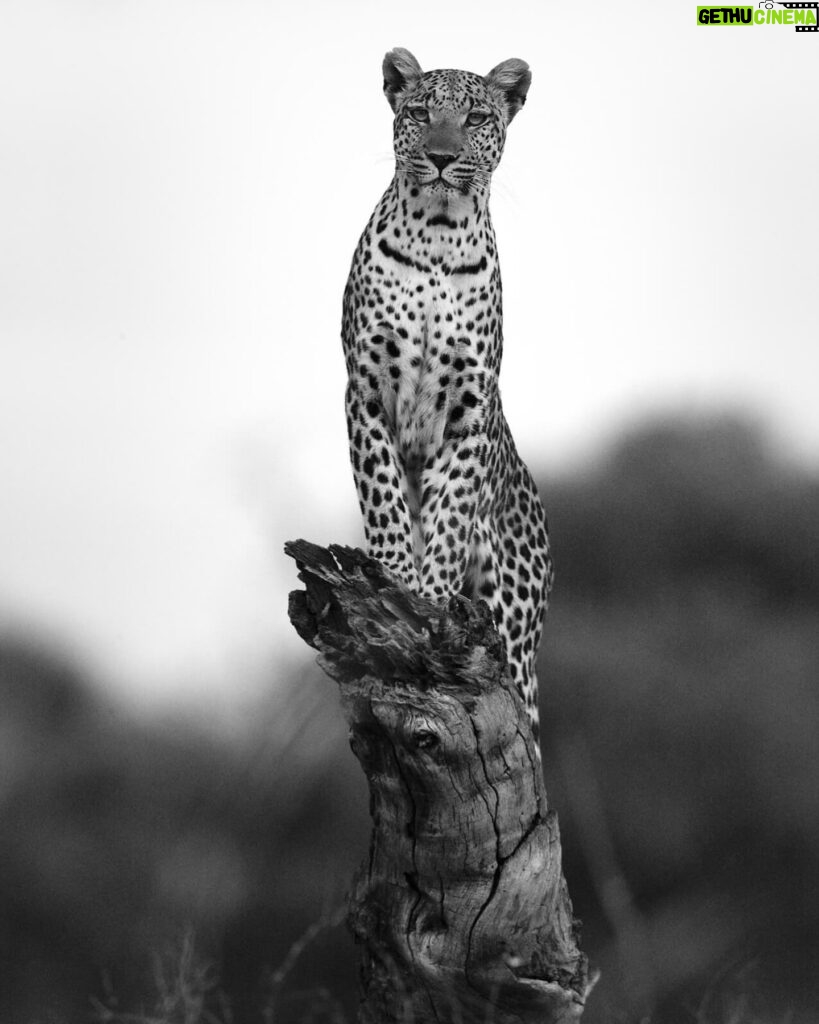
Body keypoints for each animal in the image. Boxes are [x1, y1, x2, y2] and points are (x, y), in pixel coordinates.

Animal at [339, 48, 548, 741]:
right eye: (421, 112)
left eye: (477, 117)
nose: (438, 156)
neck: (436, 235)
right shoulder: (367, 389)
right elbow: (384, 497)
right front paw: (395, 583)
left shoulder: (468, 405)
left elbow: (451, 511)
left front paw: (428, 599)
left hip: (517, 633)